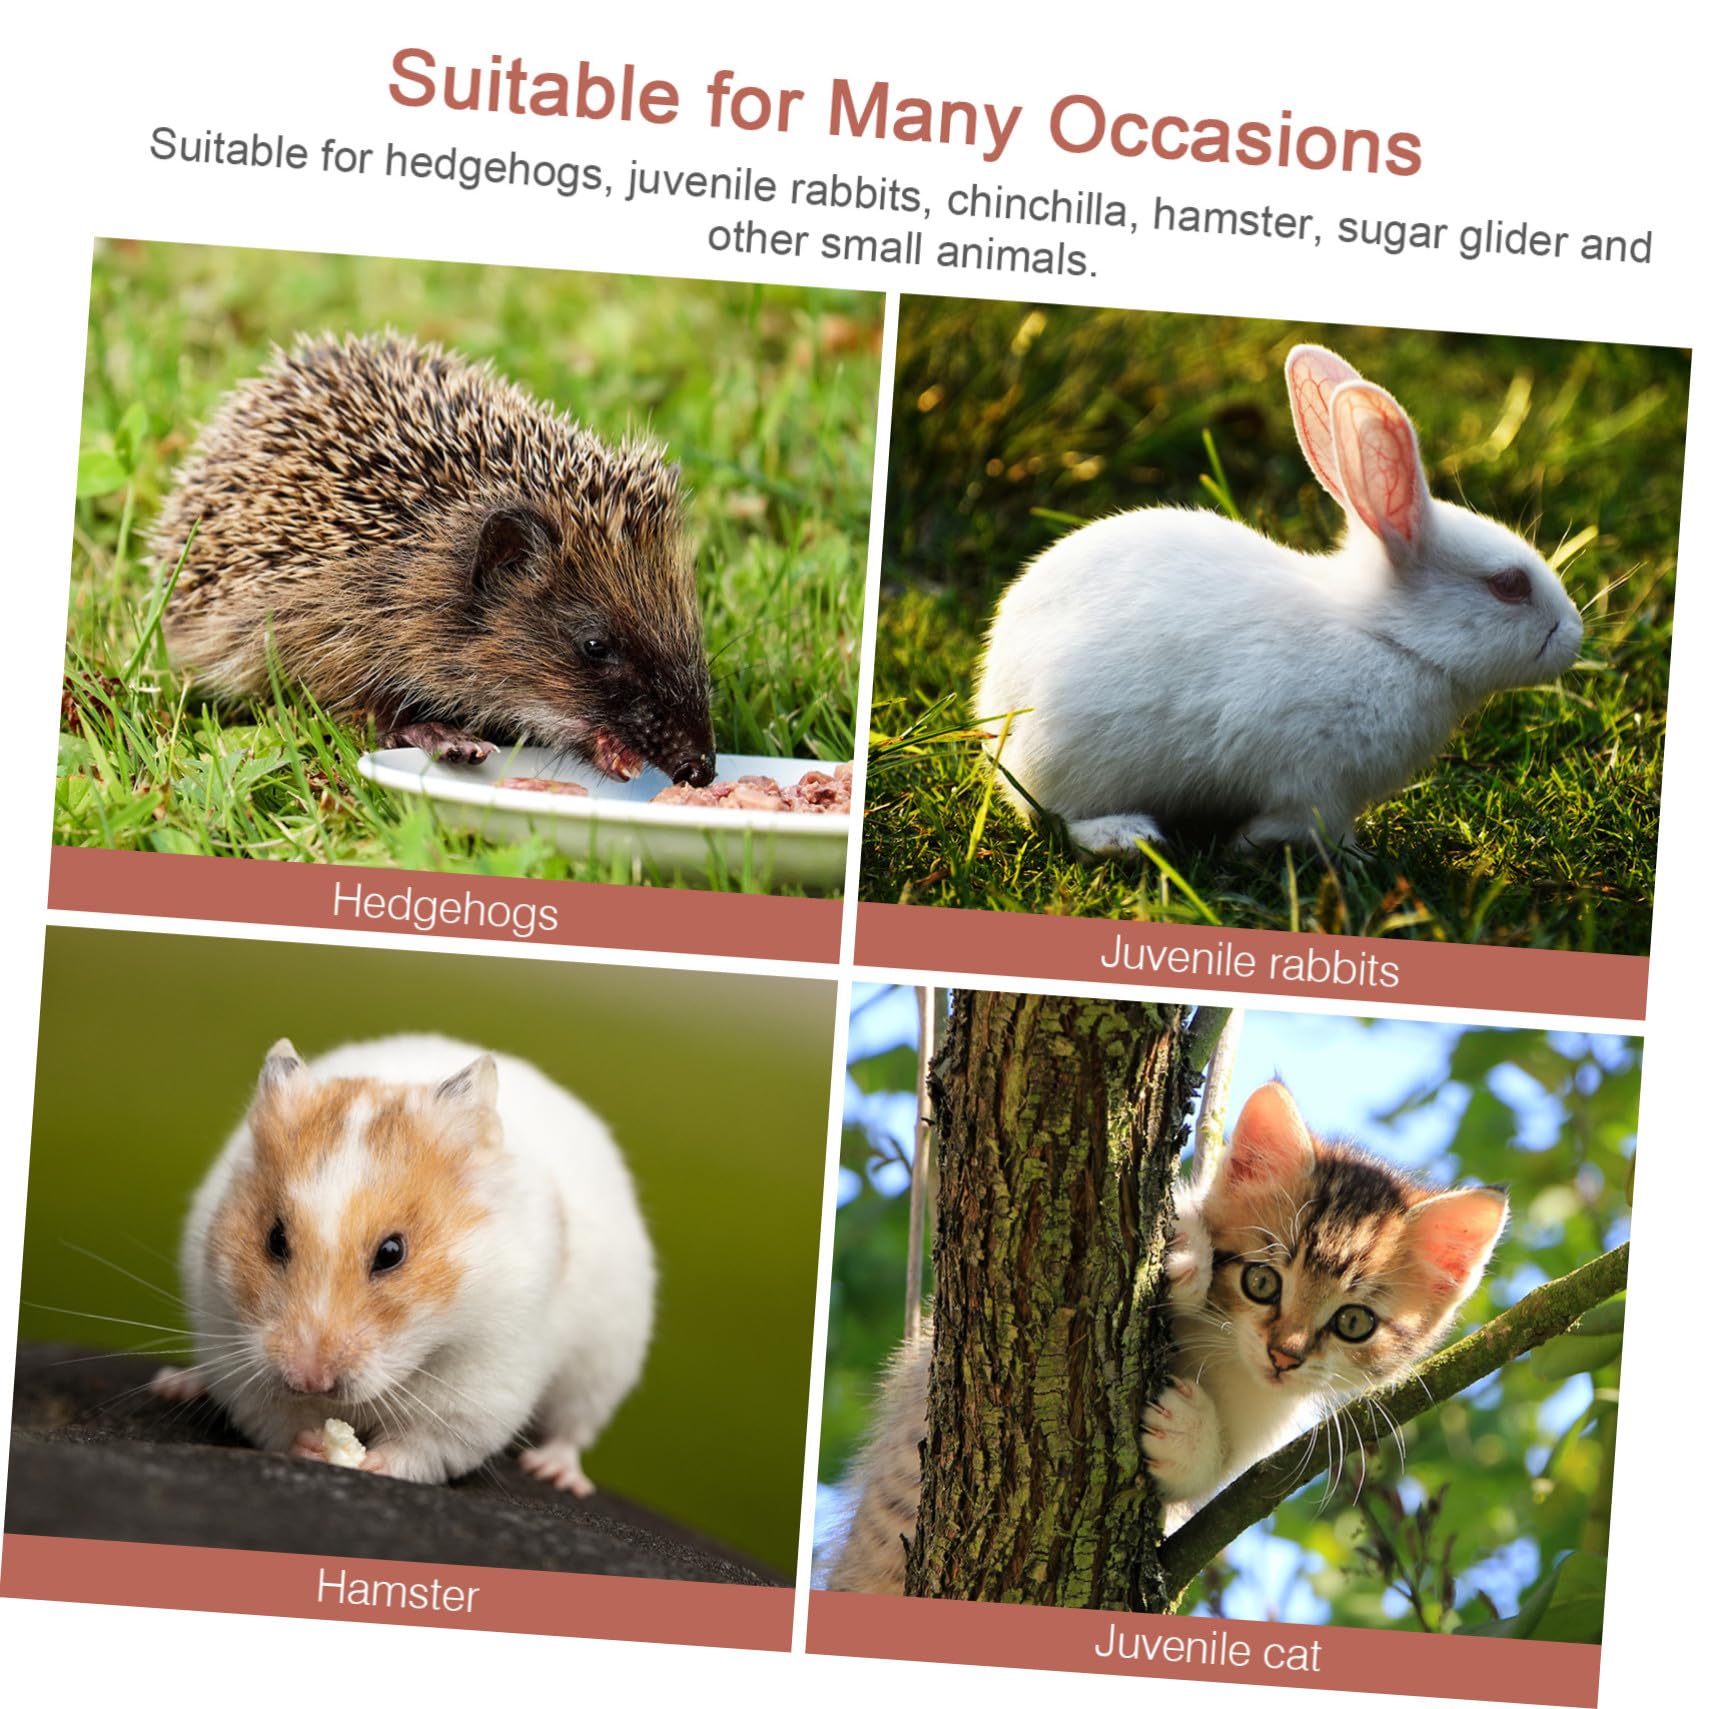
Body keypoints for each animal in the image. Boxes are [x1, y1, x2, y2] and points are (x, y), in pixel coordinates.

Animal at [150, 1033, 654, 1491]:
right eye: (275, 1239)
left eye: (392, 1253)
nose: (310, 1380)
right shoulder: (234, 1347)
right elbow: (275, 1419)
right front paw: (313, 1445)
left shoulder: (480, 1385)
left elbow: (424, 1445)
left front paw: (372, 1463)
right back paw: (176, 1383)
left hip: (603, 1363)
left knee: (573, 1427)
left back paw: (556, 1473)